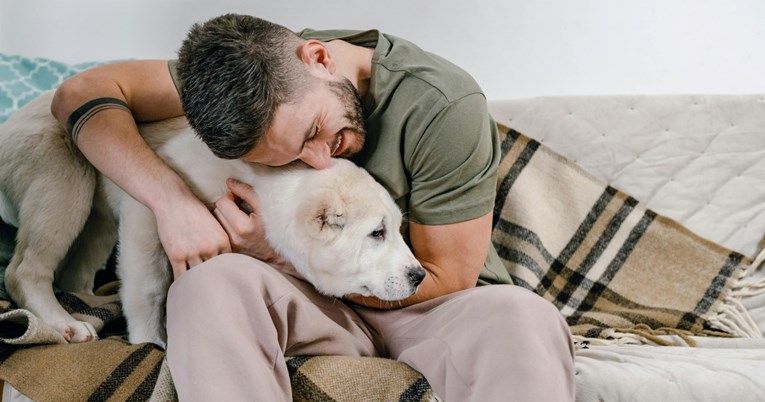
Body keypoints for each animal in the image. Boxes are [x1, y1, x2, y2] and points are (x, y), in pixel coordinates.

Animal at [0, 92, 424, 348]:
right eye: (377, 233)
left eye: (396, 230)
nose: (419, 275)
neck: (264, 177)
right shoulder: (151, 204)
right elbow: (150, 285)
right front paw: (149, 341)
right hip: (63, 179)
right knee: (25, 270)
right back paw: (63, 323)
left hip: (96, 215)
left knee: (75, 270)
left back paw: (92, 302)